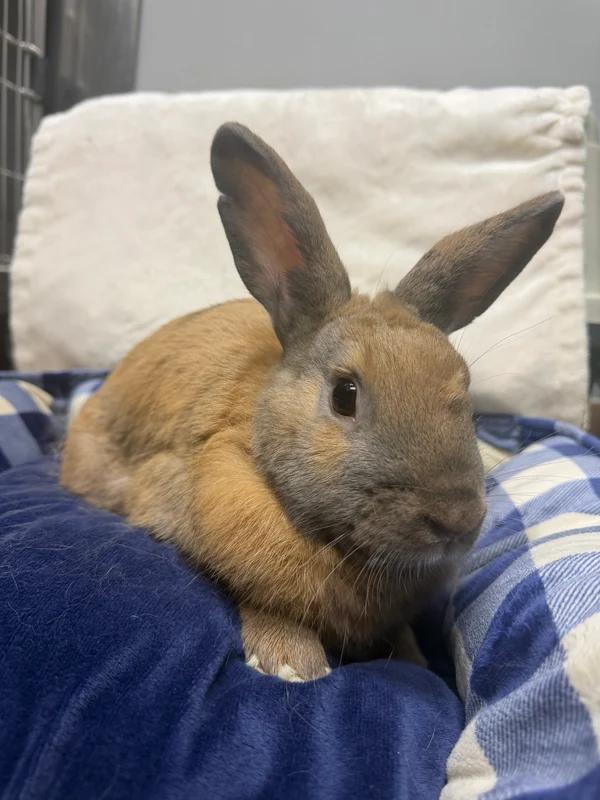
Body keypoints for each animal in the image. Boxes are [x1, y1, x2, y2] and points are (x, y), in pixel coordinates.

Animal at [61, 122, 564, 681]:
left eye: (464, 385)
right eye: (345, 394)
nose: (456, 520)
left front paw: (415, 664)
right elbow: (260, 596)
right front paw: (292, 664)